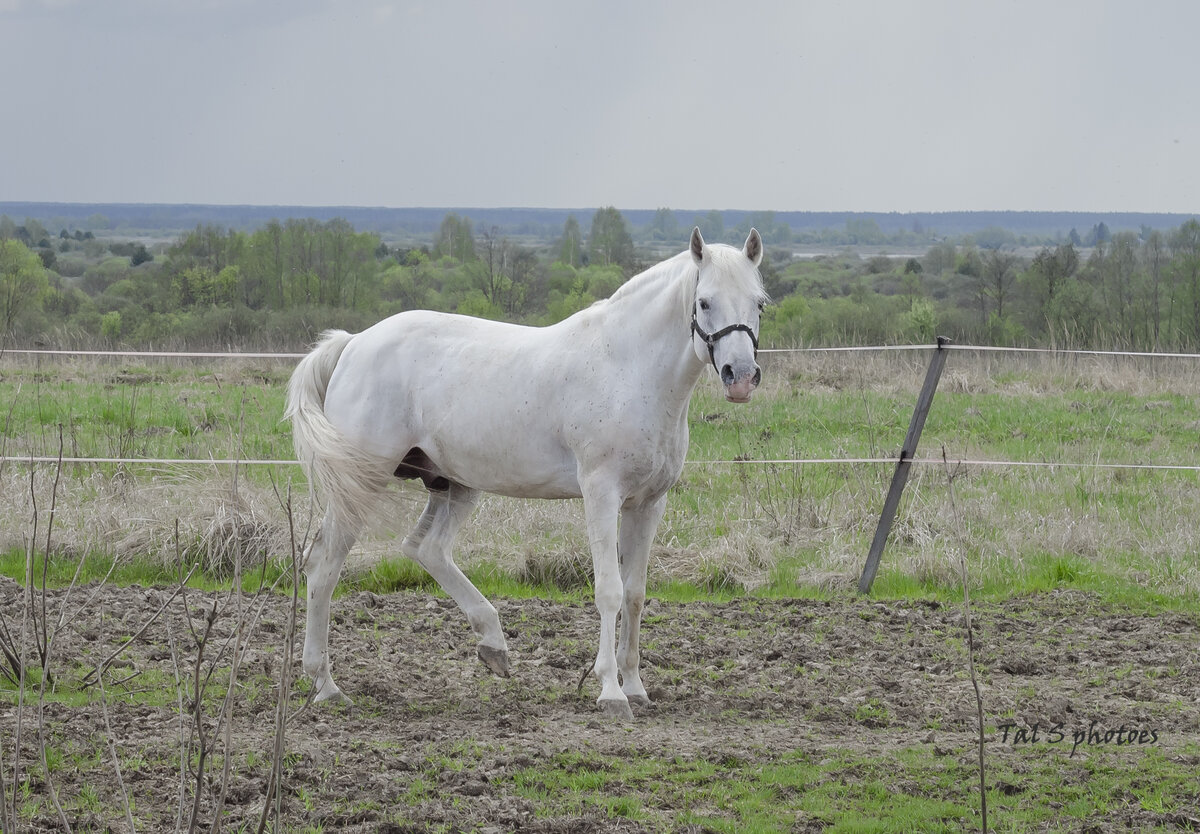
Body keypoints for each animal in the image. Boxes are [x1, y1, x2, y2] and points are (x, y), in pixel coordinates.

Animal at [285, 226, 763, 720]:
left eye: (759, 303)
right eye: (704, 302)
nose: (742, 377)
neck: (629, 369)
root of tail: (353, 343)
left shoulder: (649, 503)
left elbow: (635, 593)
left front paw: (635, 687)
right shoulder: (601, 494)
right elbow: (609, 590)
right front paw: (610, 692)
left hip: (456, 484)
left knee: (426, 548)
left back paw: (493, 645)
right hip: (361, 485)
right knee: (324, 564)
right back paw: (325, 685)